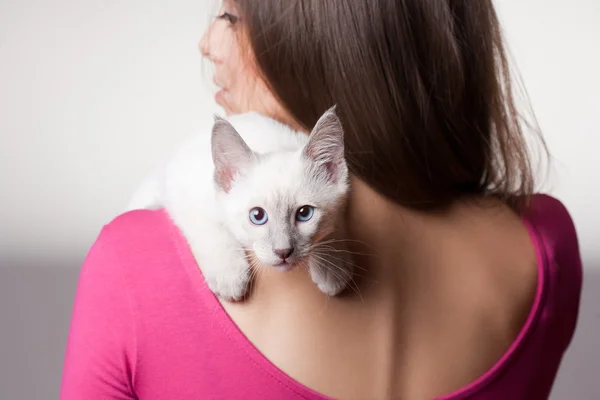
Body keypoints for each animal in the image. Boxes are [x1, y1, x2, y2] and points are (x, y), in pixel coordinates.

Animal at [126, 108, 352, 300]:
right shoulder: (182, 188)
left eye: (305, 213)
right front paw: (229, 275)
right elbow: (211, 230)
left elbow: (336, 218)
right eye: (257, 216)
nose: (283, 251)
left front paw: (333, 266)